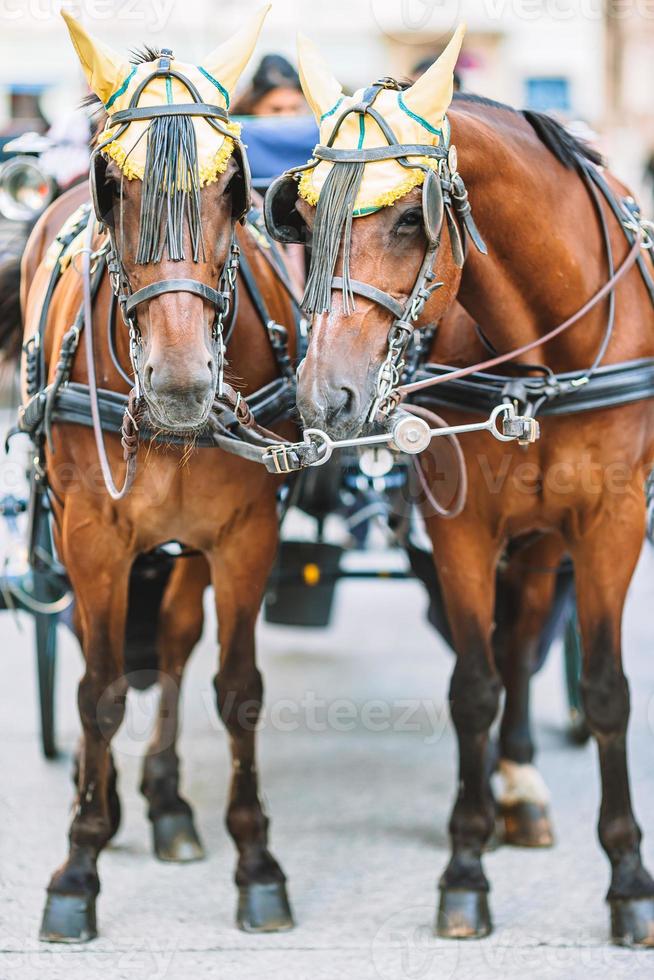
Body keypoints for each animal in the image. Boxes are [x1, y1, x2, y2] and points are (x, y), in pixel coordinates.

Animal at [20, 7, 298, 940]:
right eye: (112, 184)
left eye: (236, 185)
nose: (183, 387)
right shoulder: (90, 536)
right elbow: (99, 691)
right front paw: (77, 867)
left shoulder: (246, 536)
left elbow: (239, 688)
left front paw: (257, 863)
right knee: (90, 654)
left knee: (174, 644)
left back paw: (169, 804)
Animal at [274, 28, 654, 940]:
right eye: (304, 213)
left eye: (413, 217)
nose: (324, 396)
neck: (543, 360)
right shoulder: (461, 526)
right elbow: (473, 687)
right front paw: (465, 869)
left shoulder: (612, 521)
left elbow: (606, 690)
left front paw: (628, 879)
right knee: (505, 648)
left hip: (549, 535)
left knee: (528, 637)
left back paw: (522, 783)